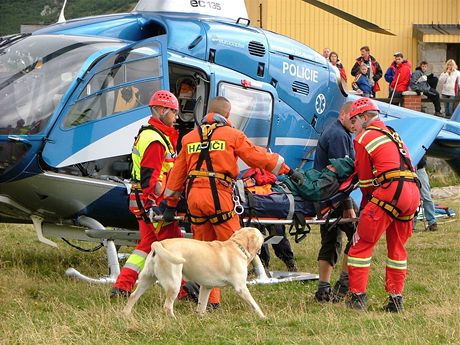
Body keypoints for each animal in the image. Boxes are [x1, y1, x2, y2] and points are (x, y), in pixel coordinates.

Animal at [122, 226, 266, 318]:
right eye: (260, 233)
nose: (265, 235)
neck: (237, 246)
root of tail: (159, 244)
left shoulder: (206, 287)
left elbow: (201, 306)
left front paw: (200, 319)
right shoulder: (241, 288)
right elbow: (255, 305)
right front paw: (263, 317)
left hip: (147, 279)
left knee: (133, 296)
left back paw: (125, 315)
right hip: (174, 284)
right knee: (167, 306)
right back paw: (174, 320)